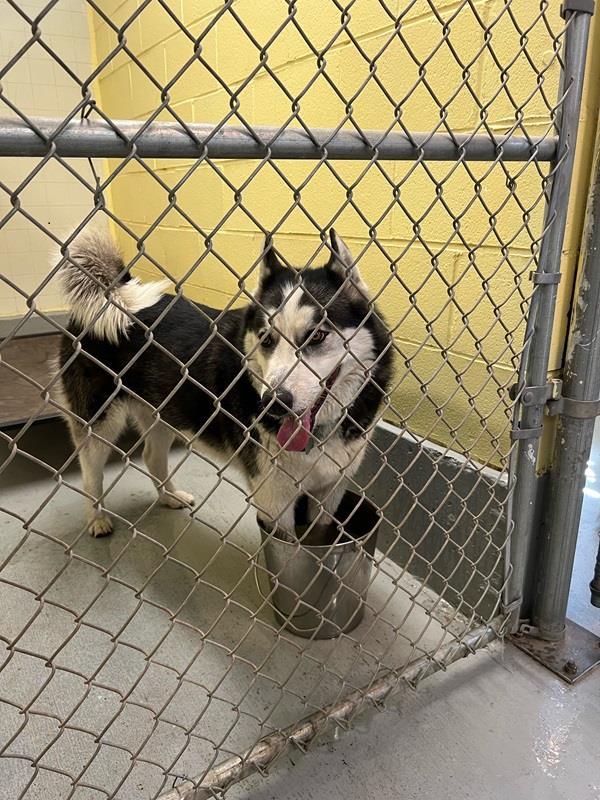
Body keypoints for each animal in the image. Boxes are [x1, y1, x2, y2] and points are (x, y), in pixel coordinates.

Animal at [56, 231, 394, 544]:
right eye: (266, 339)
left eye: (318, 335)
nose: (273, 402)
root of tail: (111, 294)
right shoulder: (274, 502)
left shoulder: (329, 493)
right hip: (99, 422)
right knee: (91, 472)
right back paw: (97, 519)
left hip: (163, 412)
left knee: (152, 456)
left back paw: (169, 497)